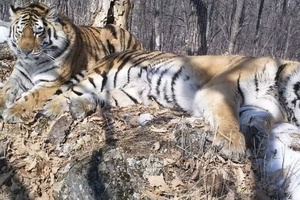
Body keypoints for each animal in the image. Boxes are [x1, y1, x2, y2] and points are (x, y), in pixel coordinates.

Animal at [0, 2, 143, 122]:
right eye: (20, 31)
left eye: (38, 32)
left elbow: (30, 98)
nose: (24, 51)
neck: (32, 63)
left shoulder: (51, 82)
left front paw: (13, 111)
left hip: (111, 30)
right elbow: (6, 90)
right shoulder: (18, 76)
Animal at [38, 50, 300, 161]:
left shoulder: (257, 108)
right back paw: (52, 109)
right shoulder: (221, 89)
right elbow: (228, 117)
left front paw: (260, 137)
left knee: (99, 98)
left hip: (128, 94)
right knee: (69, 92)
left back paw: (80, 107)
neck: (278, 94)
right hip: (104, 75)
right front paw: (232, 146)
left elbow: (261, 120)